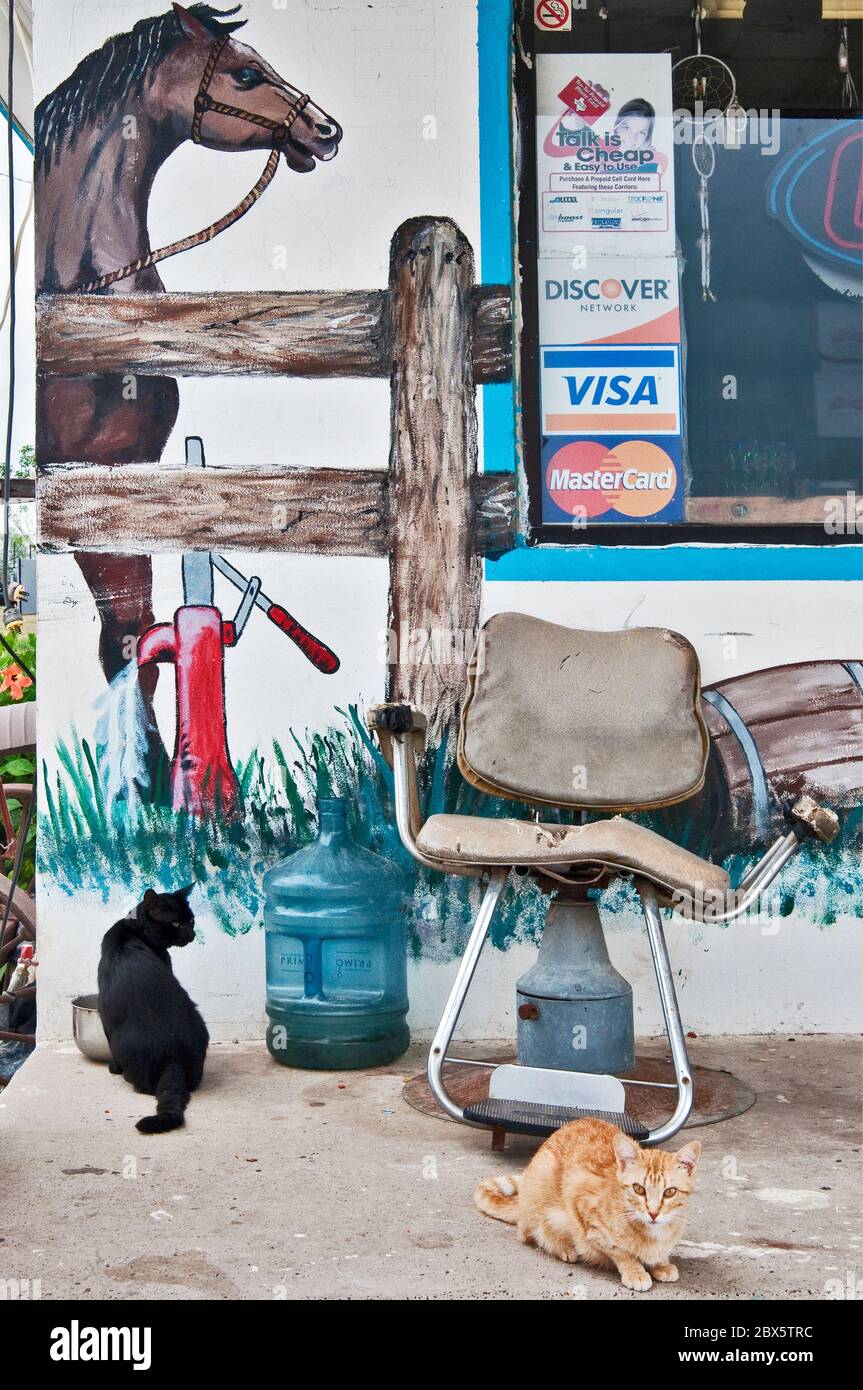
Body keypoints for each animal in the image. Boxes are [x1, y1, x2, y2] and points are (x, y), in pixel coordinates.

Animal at [97, 884, 208, 1134]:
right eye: (176, 923)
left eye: (191, 920)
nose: (192, 935)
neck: (135, 929)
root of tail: (173, 1056)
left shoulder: (104, 1010)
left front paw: (112, 1068)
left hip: (121, 1041)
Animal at [475, 1106, 697, 1289]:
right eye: (639, 1189)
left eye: (670, 1192)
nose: (653, 1213)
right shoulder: (584, 1209)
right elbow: (619, 1250)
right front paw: (635, 1271)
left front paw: (662, 1263)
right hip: (542, 1181)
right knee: (530, 1231)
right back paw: (562, 1247)